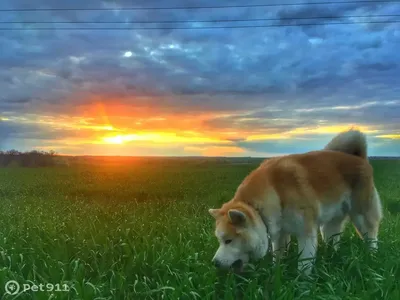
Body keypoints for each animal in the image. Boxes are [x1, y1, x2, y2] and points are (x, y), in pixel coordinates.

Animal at [209, 129, 382, 274]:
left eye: (228, 241)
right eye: (219, 240)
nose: (214, 263)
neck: (275, 191)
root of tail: (358, 158)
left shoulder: (305, 233)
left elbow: (304, 264)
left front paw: (302, 283)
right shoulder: (279, 233)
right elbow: (278, 258)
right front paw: (277, 273)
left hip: (361, 216)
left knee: (371, 235)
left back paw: (372, 258)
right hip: (329, 225)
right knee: (333, 239)